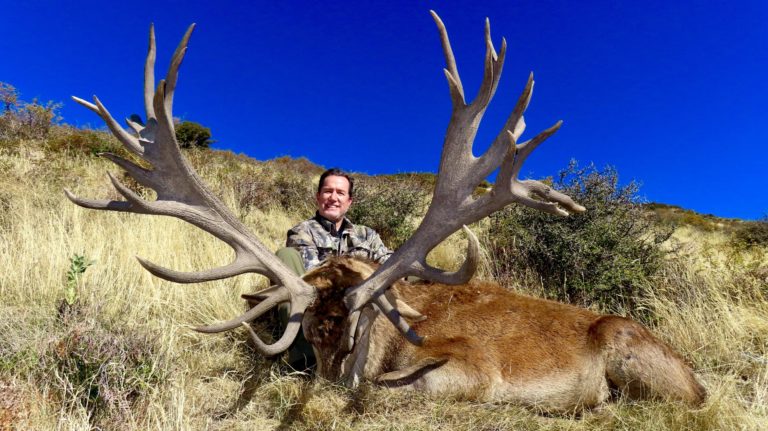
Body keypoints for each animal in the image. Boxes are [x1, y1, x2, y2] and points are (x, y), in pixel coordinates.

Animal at [65, 12, 706, 413]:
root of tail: (694, 374)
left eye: (355, 336)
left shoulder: (470, 367)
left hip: (632, 352)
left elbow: (392, 388)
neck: (392, 342)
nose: (326, 382)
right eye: (310, 338)